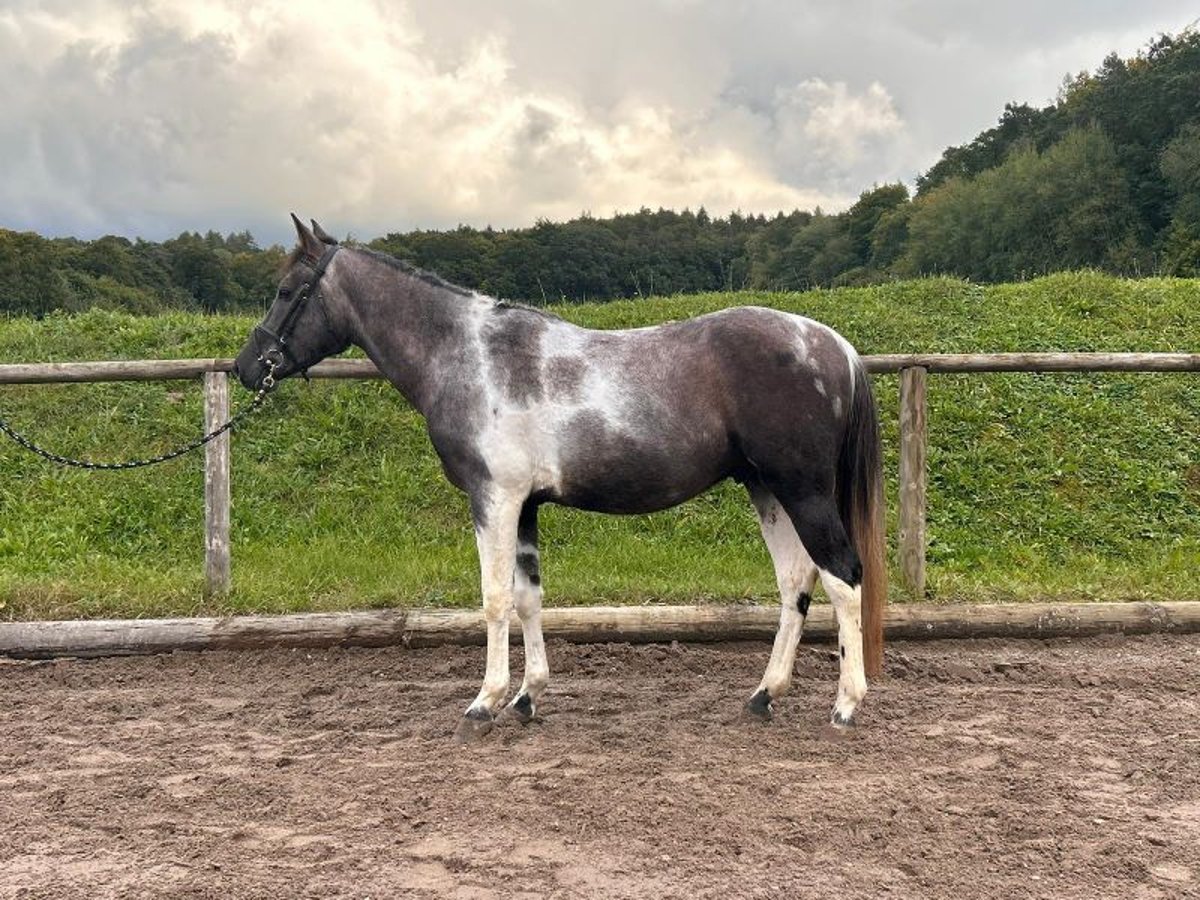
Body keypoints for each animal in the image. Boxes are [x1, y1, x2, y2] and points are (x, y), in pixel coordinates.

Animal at [234, 214, 888, 744]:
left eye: (287, 291)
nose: (246, 367)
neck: (471, 356)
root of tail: (834, 344)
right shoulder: (525, 505)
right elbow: (528, 597)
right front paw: (527, 698)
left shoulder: (494, 498)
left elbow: (494, 598)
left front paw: (484, 704)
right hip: (766, 488)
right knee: (795, 581)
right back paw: (763, 696)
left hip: (803, 491)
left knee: (842, 578)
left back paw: (846, 707)